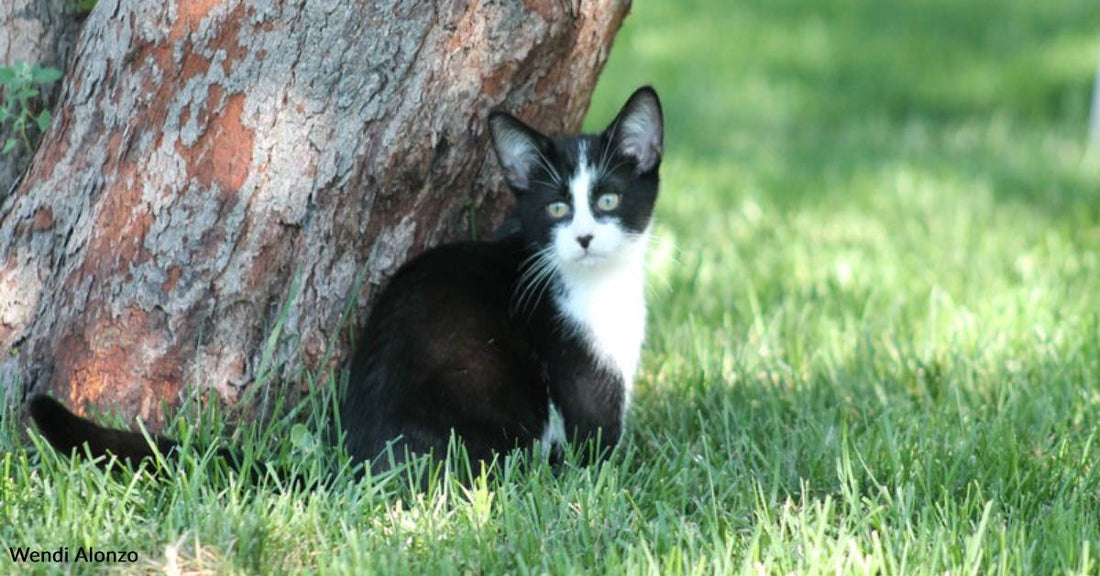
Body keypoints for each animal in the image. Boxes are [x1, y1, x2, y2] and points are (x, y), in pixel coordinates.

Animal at [27, 86, 660, 477]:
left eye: (607, 199)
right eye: (556, 209)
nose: (584, 237)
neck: (598, 287)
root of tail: (359, 460)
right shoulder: (578, 364)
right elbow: (598, 444)